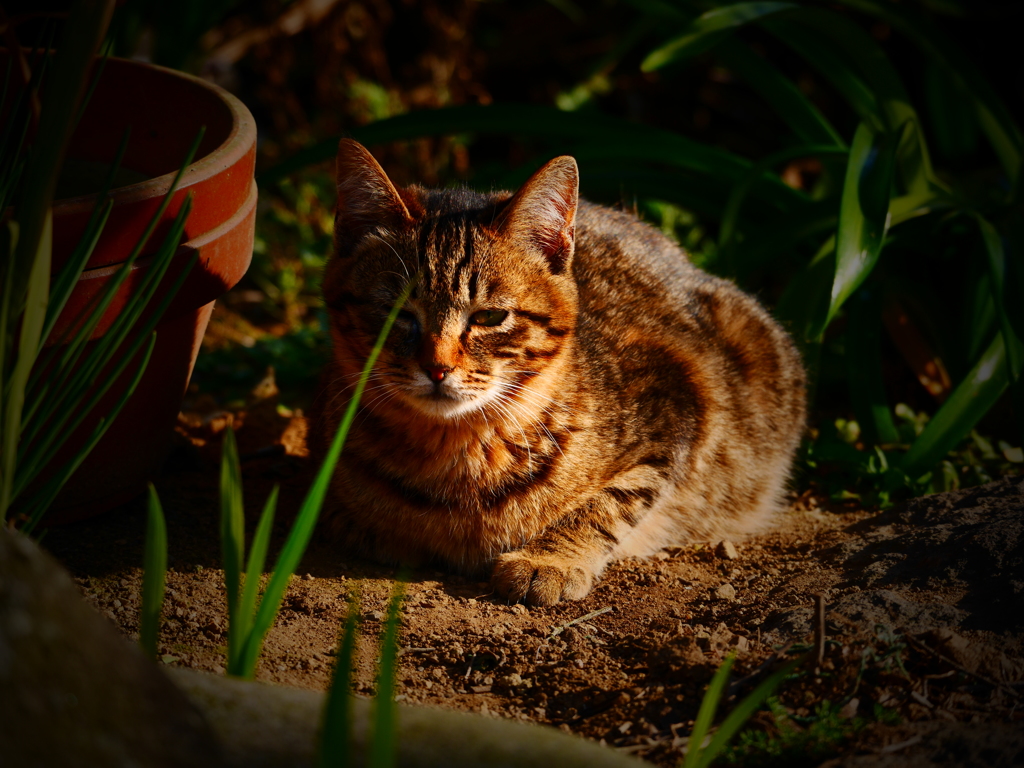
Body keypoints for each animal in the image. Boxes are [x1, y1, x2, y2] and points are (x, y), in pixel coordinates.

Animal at [311, 138, 806, 606]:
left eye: (489, 317)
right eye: (397, 312)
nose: (437, 368)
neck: (455, 459)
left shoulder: (680, 399)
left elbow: (611, 502)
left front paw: (550, 558)